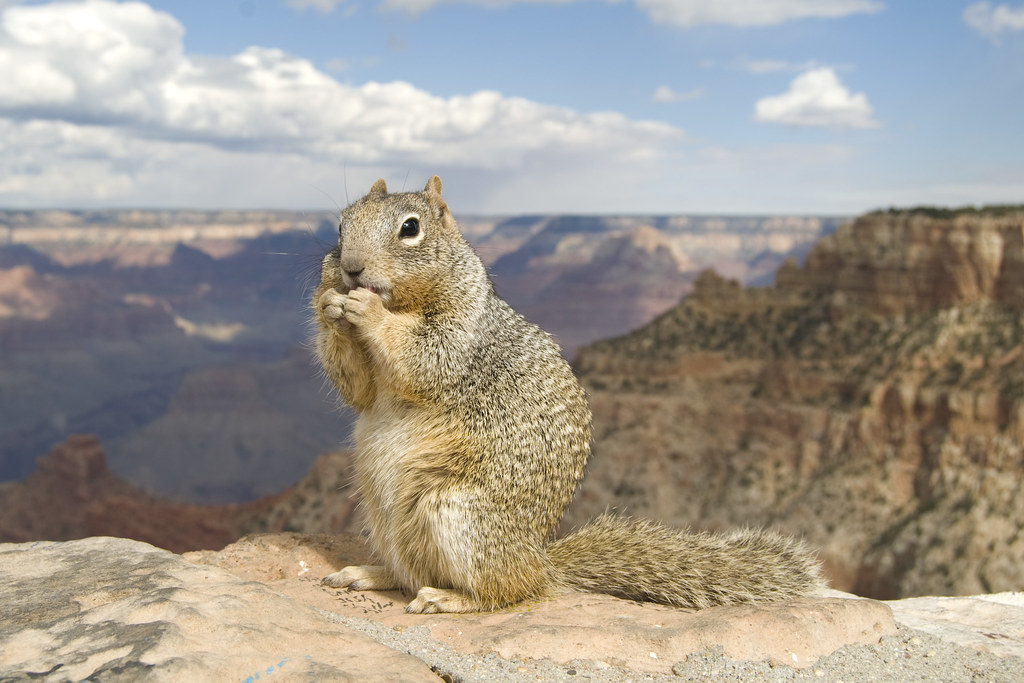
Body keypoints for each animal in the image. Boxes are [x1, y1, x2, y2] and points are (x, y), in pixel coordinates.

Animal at [312, 176, 825, 614]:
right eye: (340, 224)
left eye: (410, 228)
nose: (351, 268)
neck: (407, 301)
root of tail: (540, 560)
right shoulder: (369, 376)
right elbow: (358, 388)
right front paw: (328, 302)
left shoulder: (465, 334)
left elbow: (426, 357)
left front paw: (366, 309)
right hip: (382, 512)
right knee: (411, 572)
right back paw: (369, 573)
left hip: (458, 516)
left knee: (507, 589)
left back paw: (451, 597)